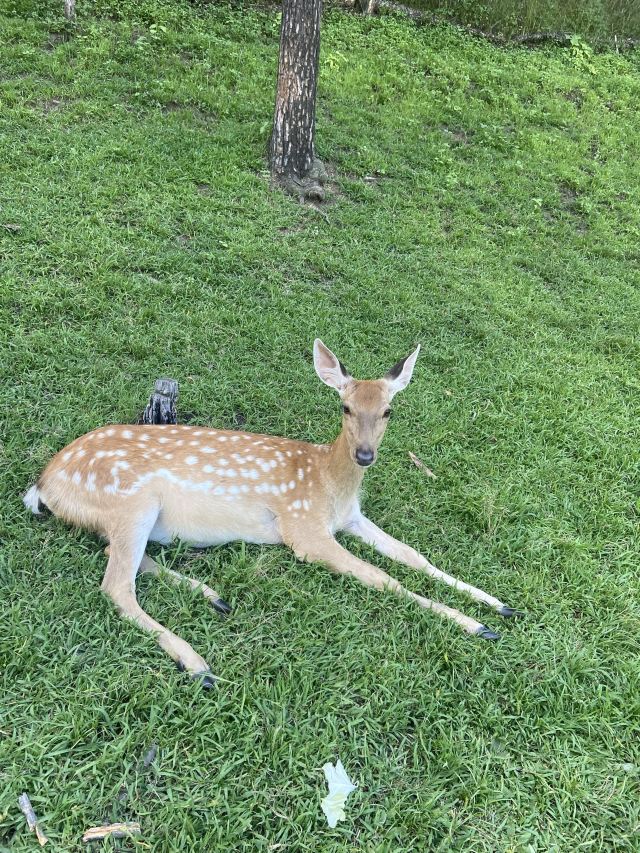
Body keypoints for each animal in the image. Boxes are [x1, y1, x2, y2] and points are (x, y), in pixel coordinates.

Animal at [24, 340, 522, 688]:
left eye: (388, 411)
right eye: (345, 406)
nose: (364, 455)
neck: (328, 484)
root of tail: (45, 483)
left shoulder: (351, 518)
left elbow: (413, 555)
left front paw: (499, 604)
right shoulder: (303, 528)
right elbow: (382, 578)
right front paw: (478, 626)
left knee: (126, 560)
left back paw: (213, 596)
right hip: (131, 499)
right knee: (115, 585)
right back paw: (198, 664)